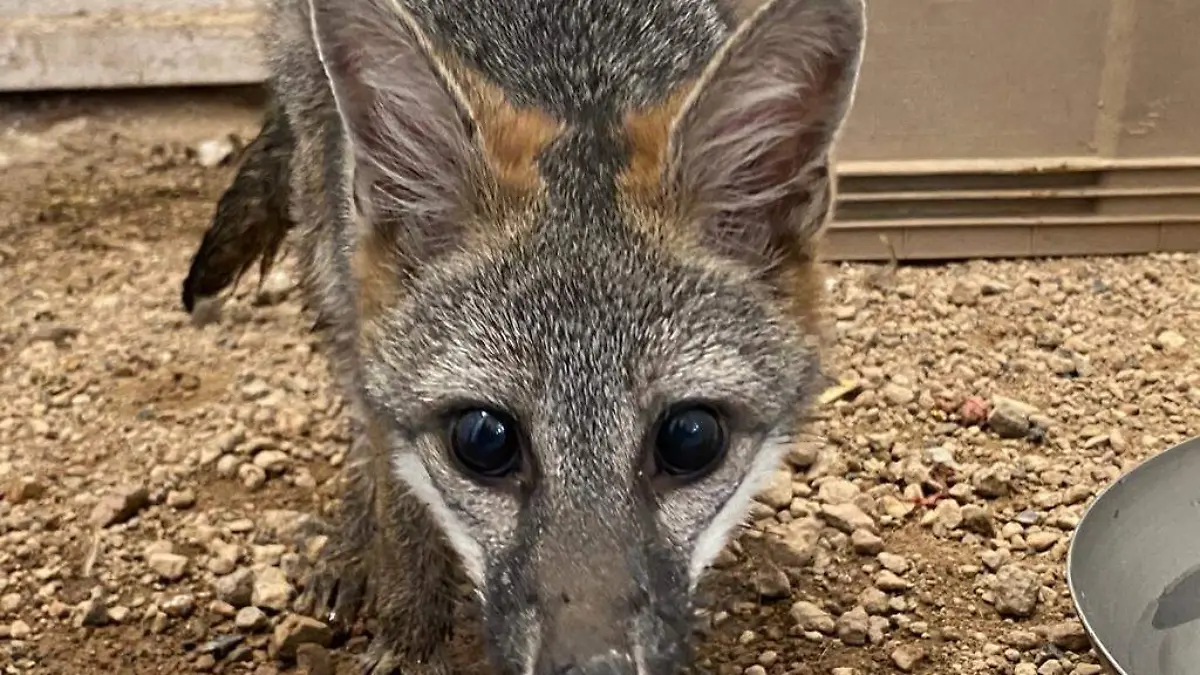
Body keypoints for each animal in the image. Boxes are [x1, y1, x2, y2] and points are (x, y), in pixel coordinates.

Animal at [180, 0, 867, 673]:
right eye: (483, 440)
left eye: (691, 437)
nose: (594, 669)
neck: (579, 74)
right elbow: (399, 495)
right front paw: (410, 635)